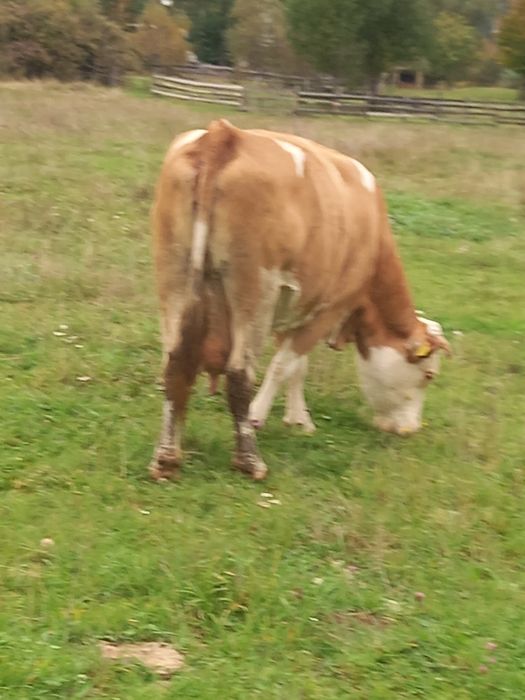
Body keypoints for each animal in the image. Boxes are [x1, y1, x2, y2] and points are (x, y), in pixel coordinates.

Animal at [149, 119, 449, 481]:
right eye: (429, 375)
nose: (410, 430)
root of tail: (224, 133)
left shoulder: (295, 304)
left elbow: (296, 365)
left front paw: (298, 419)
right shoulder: (327, 307)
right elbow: (283, 365)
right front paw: (259, 416)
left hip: (173, 274)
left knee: (175, 365)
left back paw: (166, 458)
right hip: (255, 291)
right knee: (239, 374)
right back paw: (250, 461)